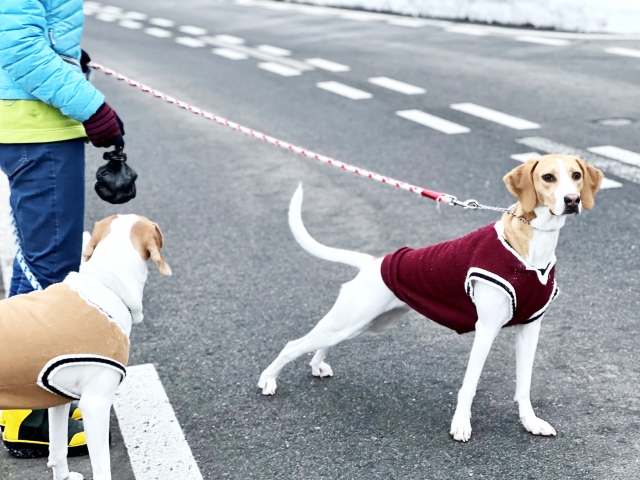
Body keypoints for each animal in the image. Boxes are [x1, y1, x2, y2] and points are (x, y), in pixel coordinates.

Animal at [0, 215, 171, 480]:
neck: (106, 285)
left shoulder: (57, 400)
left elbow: (58, 450)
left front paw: (64, 477)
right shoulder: (95, 405)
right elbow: (102, 467)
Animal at [258, 155, 604, 442]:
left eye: (575, 175)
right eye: (548, 177)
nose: (572, 200)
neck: (532, 246)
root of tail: (375, 262)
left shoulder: (530, 328)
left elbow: (524, 385)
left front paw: (530, 422)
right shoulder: (486, 329)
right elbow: (469, 384)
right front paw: (461, 425)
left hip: (365, 324)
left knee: (321, 343)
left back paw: (317, 365)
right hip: (350, 320)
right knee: (293, 345)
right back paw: (268, 380)